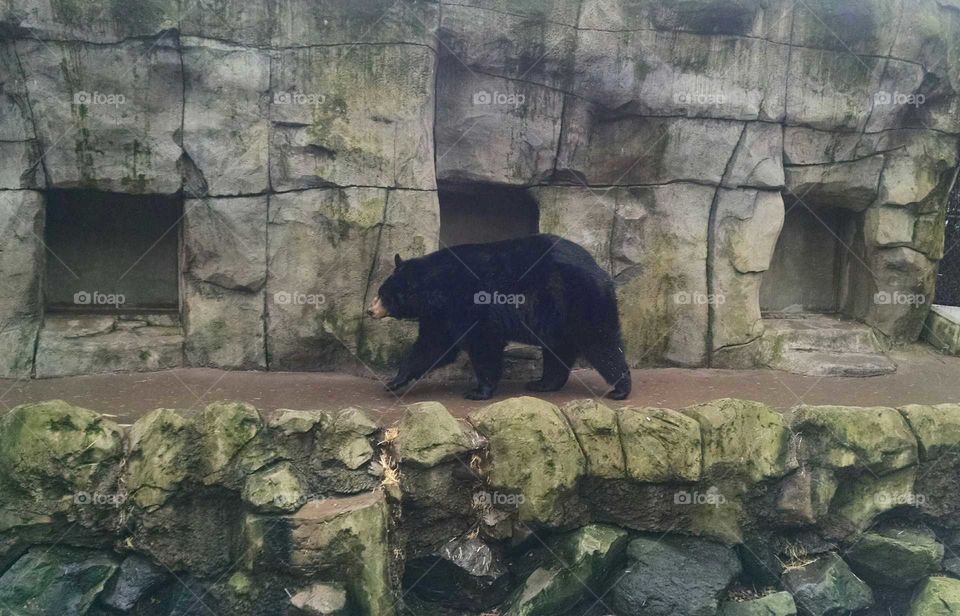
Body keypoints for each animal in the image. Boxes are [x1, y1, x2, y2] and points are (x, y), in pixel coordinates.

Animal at [367, 234, 631, 400]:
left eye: (382, 294)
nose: (369, 310)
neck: (434, 287)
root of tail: (600, 270)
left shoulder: (467, 302)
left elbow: (482, 343)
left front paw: (478, 391)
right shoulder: (440, 314)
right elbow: (432, 345)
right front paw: (394, 381)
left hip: (577, 298)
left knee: (600, 342)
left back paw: (620, 389)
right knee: (559, 349)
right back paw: (542, 383)